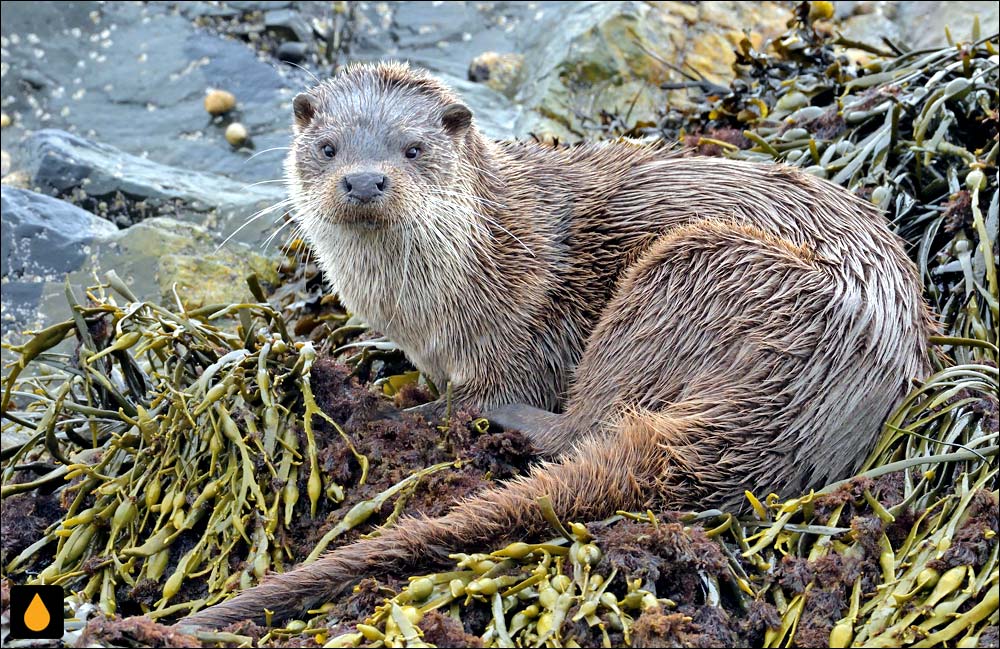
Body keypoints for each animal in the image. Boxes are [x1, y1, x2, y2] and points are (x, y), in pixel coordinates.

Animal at [182, 63, 936, 624]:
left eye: (413, 149)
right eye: (329, 147)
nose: (365, 179)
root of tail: (804, 396)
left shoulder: (530, 327)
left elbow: (507, 381)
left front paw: (407, 403)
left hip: (692, 275)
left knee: (581, 426)